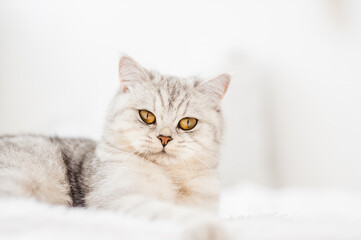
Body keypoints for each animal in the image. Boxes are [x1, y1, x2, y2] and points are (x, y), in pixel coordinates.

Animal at [0, 56, 231, 240]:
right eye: (147, 116)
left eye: (187, 123)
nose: (164, 138)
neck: (171, 177)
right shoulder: (118, 199)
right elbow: (170, 213)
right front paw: (211, 229)